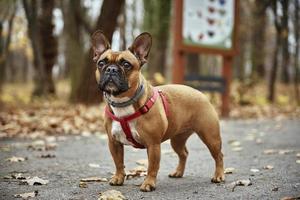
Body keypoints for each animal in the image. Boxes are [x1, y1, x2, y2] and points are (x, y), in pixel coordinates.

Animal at [92, 30, 225, 191]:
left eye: (126, 64)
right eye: (101, 63)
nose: (111, 69)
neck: (122, 103)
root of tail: (200, 93)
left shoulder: (153, 144)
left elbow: (152, 166)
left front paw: (148, 183)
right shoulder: (114, 142)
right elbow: (118, 163)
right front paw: (118, 178)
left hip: (210, 136)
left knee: (218, 155)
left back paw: (219, 176)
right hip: (177, 139)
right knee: (184, 153)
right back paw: (178, 172)